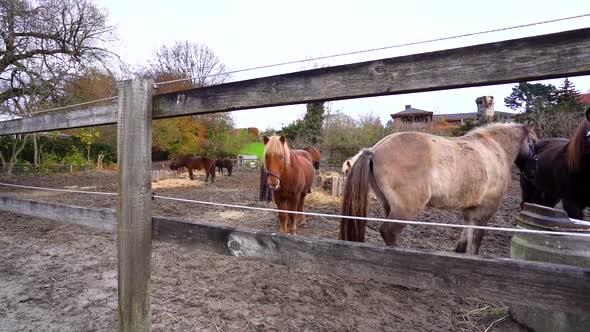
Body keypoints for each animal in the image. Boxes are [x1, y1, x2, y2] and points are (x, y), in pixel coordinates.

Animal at [340, 123, 540, 255]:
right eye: (535, 142)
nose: (533, 171)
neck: (493, 149)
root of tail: (374, 150)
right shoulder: (486, 208)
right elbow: (476, 240)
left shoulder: (470, 208)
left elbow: (466, 233)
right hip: (407, 208)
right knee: (389, 231)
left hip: (388, 205)